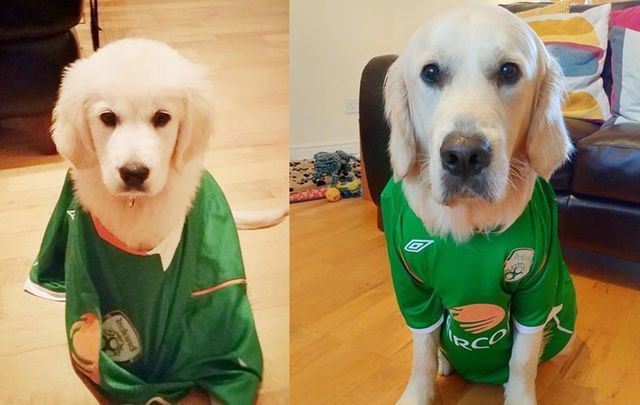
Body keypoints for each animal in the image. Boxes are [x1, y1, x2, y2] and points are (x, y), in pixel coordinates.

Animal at [382, 5, 576, 404]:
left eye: (508, 71)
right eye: (431, 72)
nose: (464, 156)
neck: (468, 223)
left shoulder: (536, 289)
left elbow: (522, 360)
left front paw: (519, 394)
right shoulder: (412, 288)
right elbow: (422, 353)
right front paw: (418, 392)